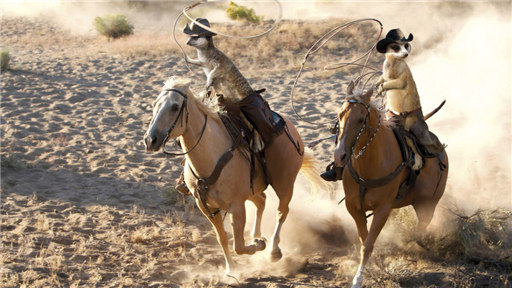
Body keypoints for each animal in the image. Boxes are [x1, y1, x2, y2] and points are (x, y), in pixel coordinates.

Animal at [142, 76, 322, 274]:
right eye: (154, 104)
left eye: (175, 107)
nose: (150, 140)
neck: (211, 157)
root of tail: (292, 129)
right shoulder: (205, 206)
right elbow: (222, 238)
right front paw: (231, 268)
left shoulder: (236, 205)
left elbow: (239, 246)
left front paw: (257, 246)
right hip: (252, 190)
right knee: (262, 200)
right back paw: (257, 235)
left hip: (284, 184)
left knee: (281, 212)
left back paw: (273, 250)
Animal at [332, 82, 448, 286]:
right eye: (339, 115)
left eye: (361, 119)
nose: (340, 155)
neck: (369, 166)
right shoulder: (353, 207)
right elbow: (364, 240)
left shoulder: (383, 210)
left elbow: (368, 244)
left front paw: (358, 278)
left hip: (428, 204)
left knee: (422, 227)